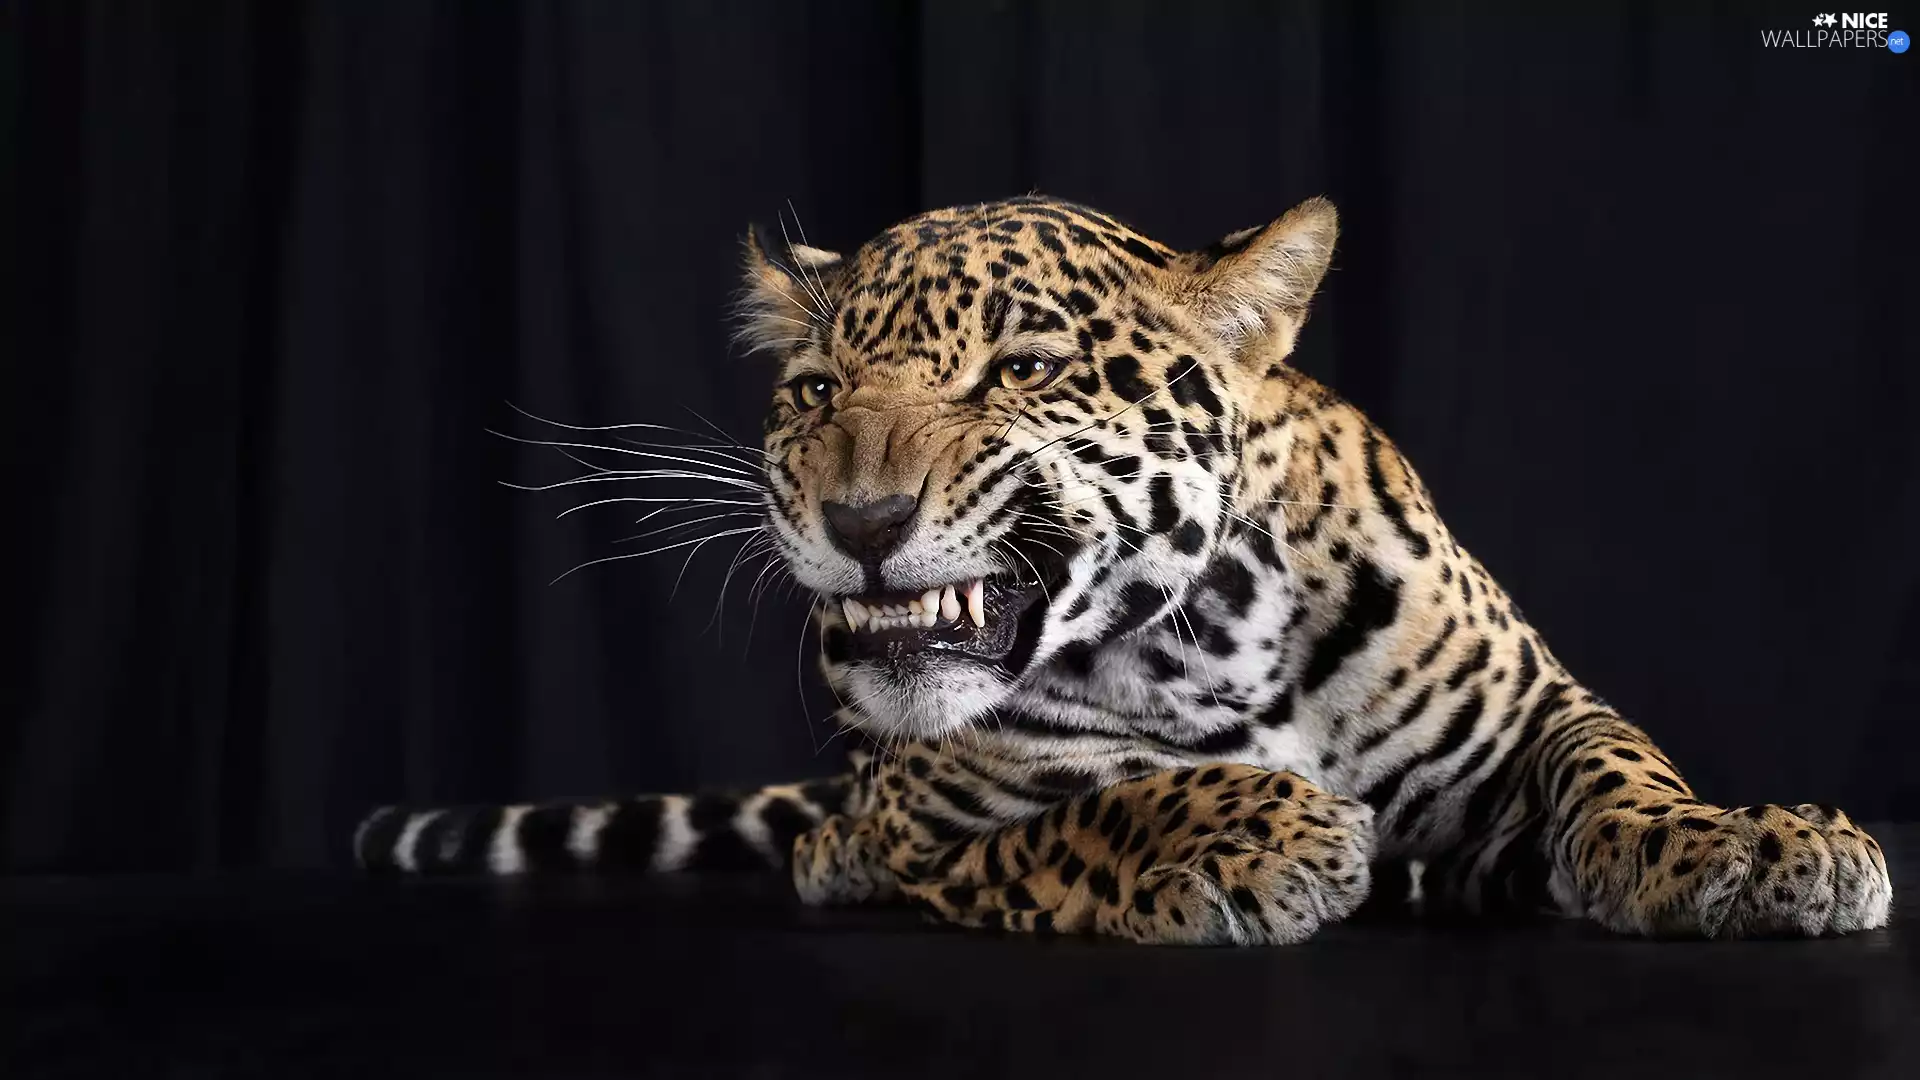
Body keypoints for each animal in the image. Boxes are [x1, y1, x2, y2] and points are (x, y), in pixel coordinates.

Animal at [355, 195, 1892, 944]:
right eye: (818, 391)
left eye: (1022, 372)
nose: (861, 518)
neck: (1219, 636)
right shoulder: (935, 830)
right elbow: (1110, 808)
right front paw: (1268, 833)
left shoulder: (1527, 715)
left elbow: (1619, 768)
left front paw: (1748, 846)